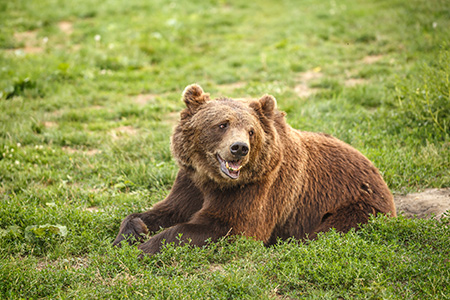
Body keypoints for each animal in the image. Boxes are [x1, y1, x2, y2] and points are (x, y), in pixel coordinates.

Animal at [111, 84, 394, 253]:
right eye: (222, 124)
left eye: (251, 130)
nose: (239, 148)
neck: (212, 178)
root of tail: (376, 171)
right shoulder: (190, 181)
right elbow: (166, 210)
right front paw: (130, 234)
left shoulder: (258, 188)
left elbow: (226, 226)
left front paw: (144, 248)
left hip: (355, 207)